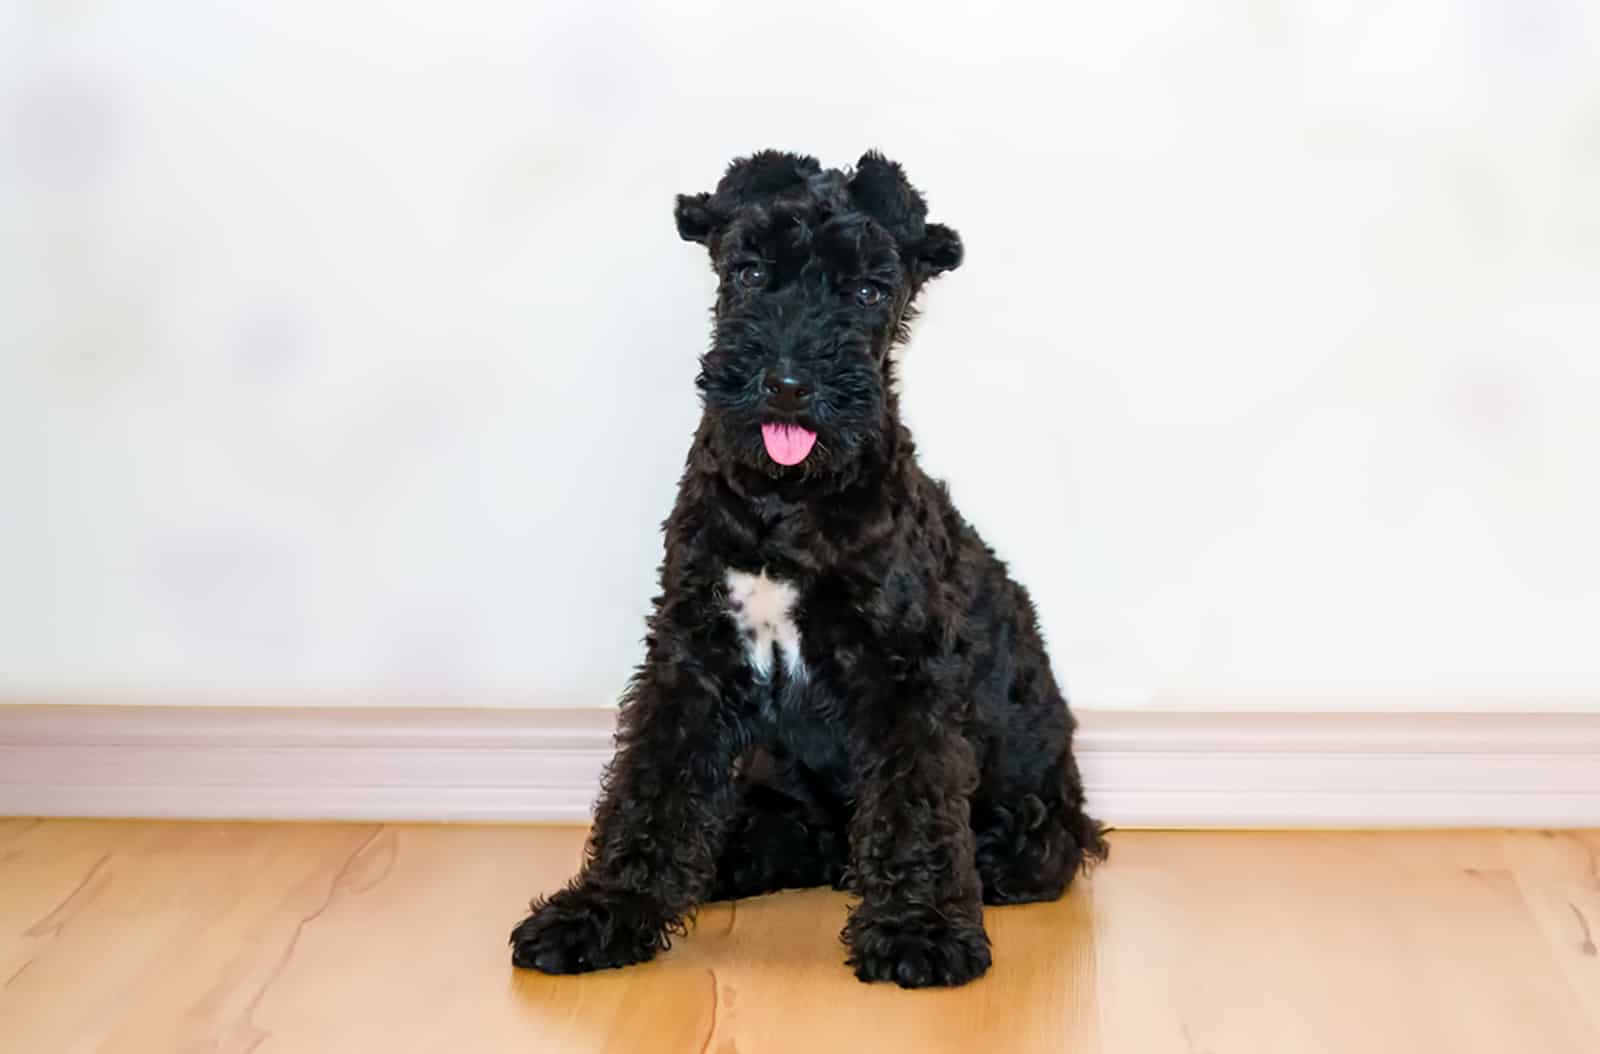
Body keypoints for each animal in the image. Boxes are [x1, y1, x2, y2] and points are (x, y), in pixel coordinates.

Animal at [508, 148, 1100, 991]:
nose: (788, 383)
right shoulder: (691, 658)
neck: (785, 505)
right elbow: (650, 788)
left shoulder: (905, 672)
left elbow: (915, 802)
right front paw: (601, 912)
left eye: (869, 291)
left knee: (1017, 846)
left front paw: (920, 930)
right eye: (750, 272)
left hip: (1030, 808)